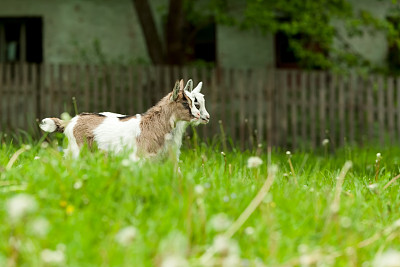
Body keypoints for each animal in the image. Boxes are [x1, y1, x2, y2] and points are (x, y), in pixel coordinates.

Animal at [39, 78, 209, 160]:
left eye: (194, 101)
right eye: (188, 103)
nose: (203, 116)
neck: (152, 125)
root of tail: (71, 121)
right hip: (78, 151)